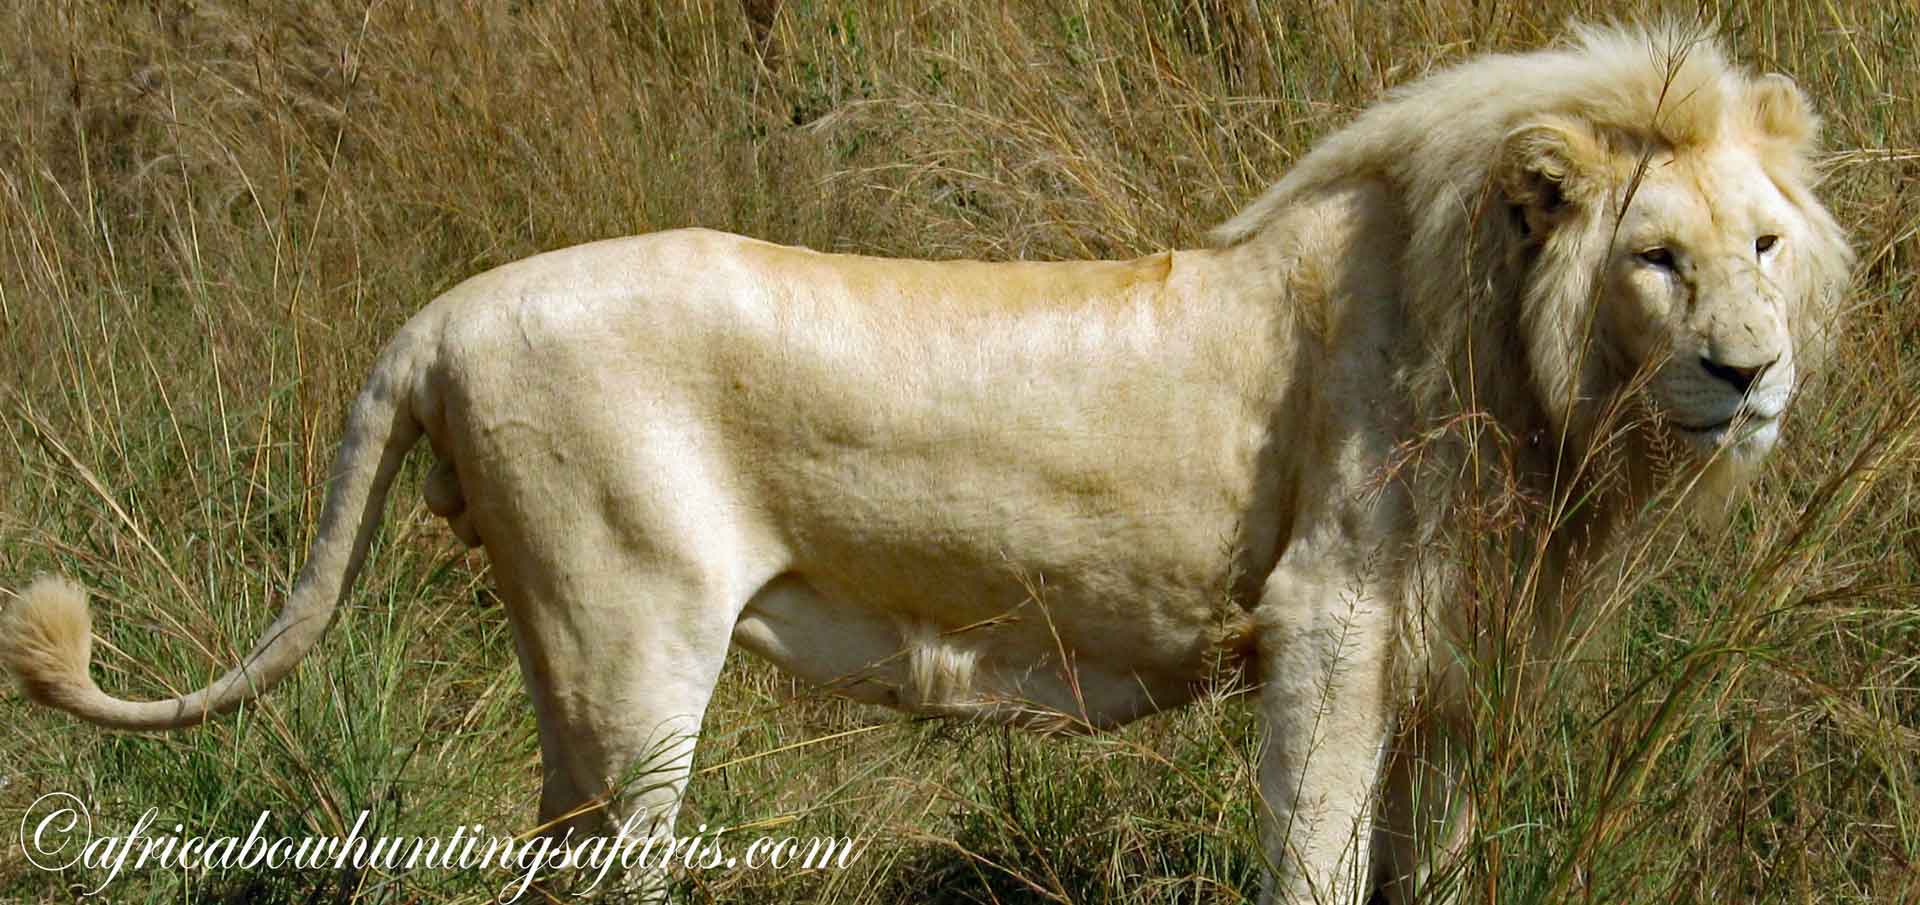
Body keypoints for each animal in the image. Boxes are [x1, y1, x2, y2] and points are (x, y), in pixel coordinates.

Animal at [1, 22, 1851, 904]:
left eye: (1763, 244)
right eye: (1658, 261)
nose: (1749, 374)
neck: (1534, 377)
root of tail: (437, 315)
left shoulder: (1459, 658)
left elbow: (1438, 853)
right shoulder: (1325, 626)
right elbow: (1318, 855)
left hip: (570, 662)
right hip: (631, 643)